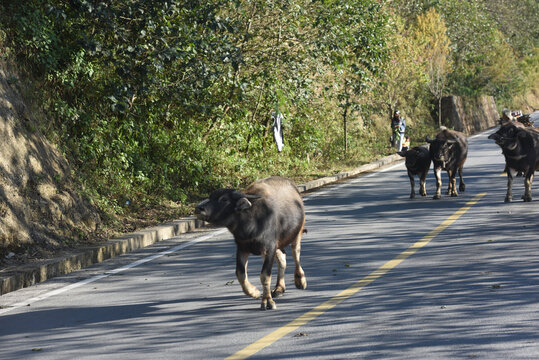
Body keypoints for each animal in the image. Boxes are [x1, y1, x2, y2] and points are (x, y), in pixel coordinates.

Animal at [194, 176, 306, 308]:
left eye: (224, 199)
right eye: (210, 197)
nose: (199, 208)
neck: (250, 223)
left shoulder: (269, 248)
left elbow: (265, 275)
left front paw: (267, 301)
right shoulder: (242, 248)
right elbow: (240, 274)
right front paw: (254, 292)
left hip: (297, 232)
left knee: (295, 253)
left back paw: (300, 280)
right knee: (282, 259)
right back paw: (279, 288)